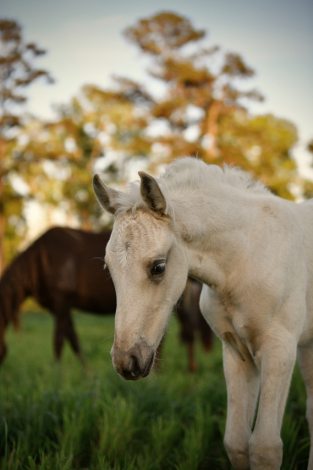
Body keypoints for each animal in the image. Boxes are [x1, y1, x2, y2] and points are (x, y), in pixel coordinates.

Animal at [0, 227, 212, 368]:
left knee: (188, 328)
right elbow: (73, 340)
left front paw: (57, 374)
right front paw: (87, 374)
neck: (41, 260)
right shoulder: (61, 307)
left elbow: (59, 341)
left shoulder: (61, 303)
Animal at [93, 159, 313, 470]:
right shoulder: (237, 353)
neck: (247, 257)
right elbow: (237, 443)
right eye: (108, 268)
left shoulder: (279, 350)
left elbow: (265, 447)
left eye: (158, 267)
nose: (126, 362)